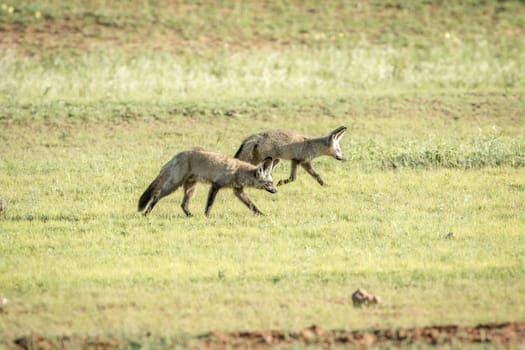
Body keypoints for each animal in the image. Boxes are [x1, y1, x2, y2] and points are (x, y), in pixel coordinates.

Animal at [138, 149, 278, 217]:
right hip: (174, 185)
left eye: (272, 182)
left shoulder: (238, 191)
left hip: (190, 189)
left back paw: (190, 215)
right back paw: (146, 213)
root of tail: (175, 156)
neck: (237, 171)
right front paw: (207, 216)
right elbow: (209, 204)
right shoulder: (215, 185)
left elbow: (251, 205)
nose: (276, 191)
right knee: (156, 195)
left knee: (183, 205)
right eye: (268, 183)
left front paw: (260, 214)